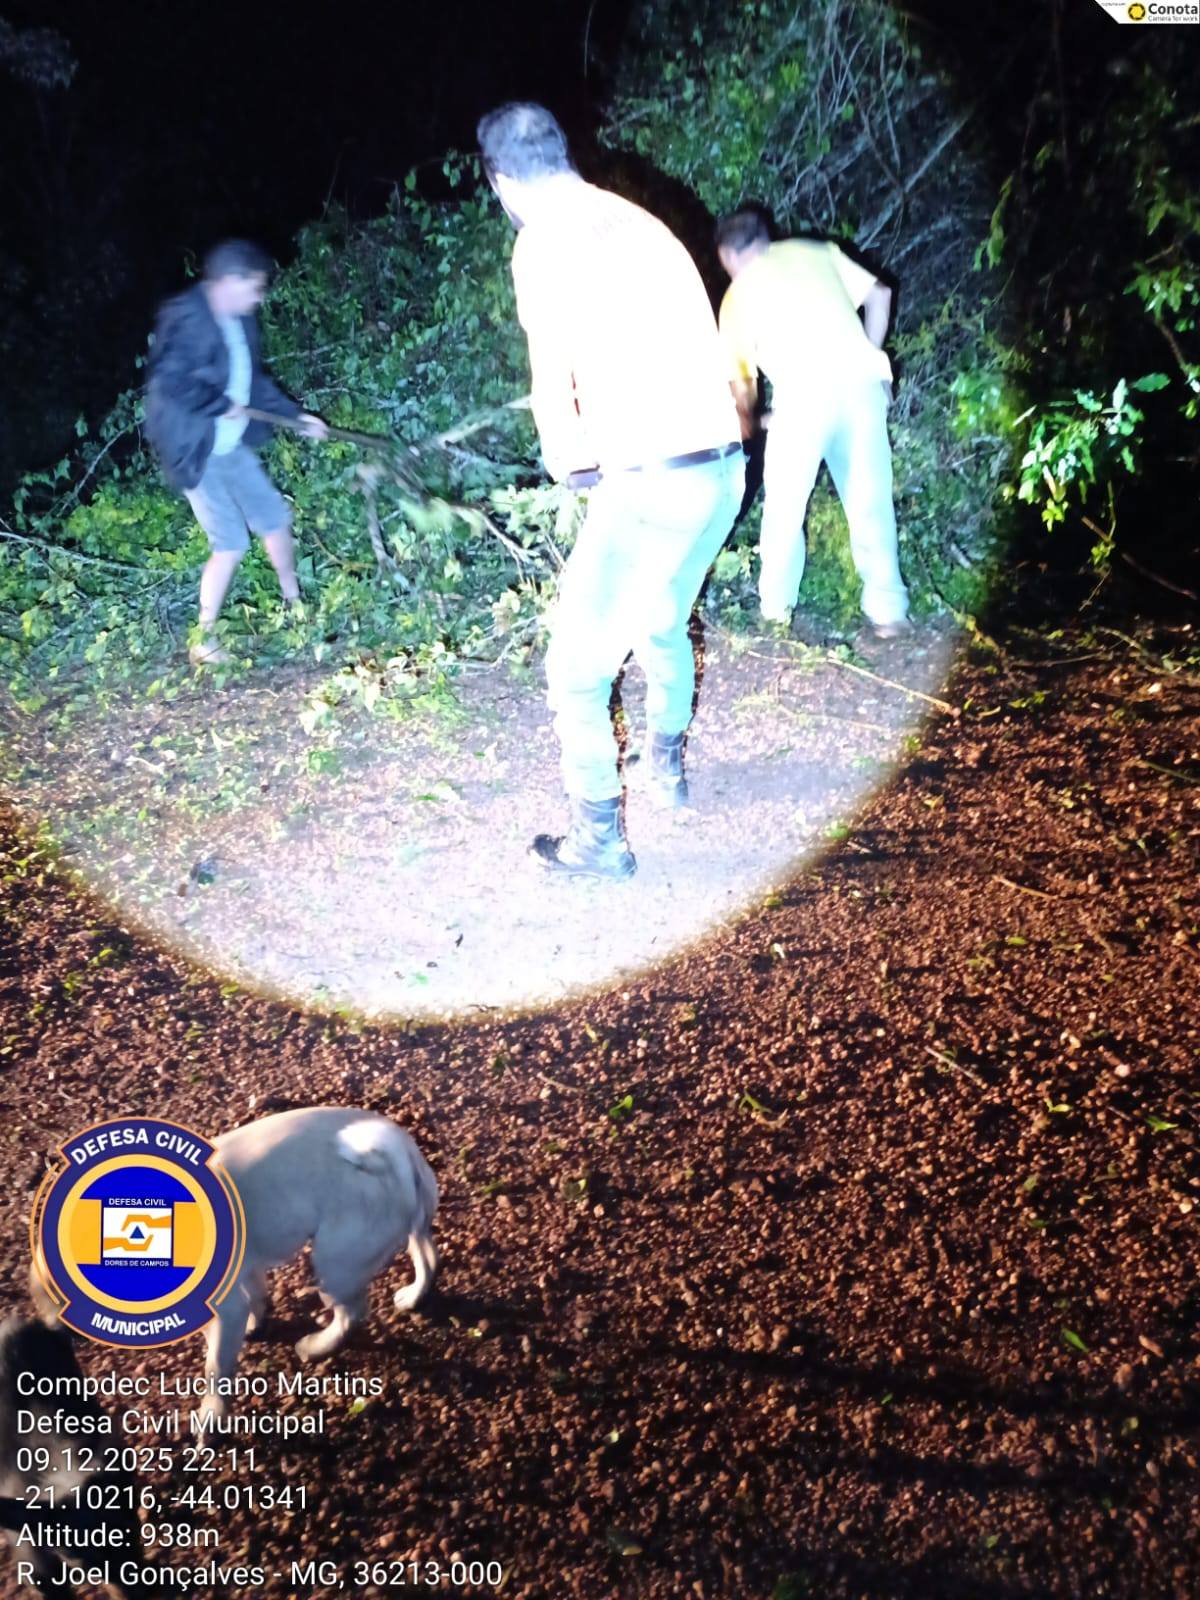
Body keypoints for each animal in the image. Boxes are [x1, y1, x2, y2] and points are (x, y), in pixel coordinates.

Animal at [201, 1107, 439, 1415]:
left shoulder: (225, 1310)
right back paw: (412, 1297)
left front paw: (210, 1417)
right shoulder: (249, 1263)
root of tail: (399, 1151)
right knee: (428, 1260)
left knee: (352, 1315)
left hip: (334, 1269)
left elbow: (216, 1368)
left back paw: (315, 1347)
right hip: (414, 1231)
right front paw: (256, 1323)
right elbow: (255, 1296)